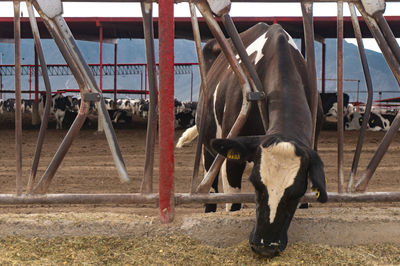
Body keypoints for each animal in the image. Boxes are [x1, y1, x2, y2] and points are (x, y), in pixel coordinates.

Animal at [177, 23, 326, 258]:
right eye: (256, 184)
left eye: (296, 193)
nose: (265, 246)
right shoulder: (232, 159)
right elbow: (233, 204)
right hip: (208, 144)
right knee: (211, 185)